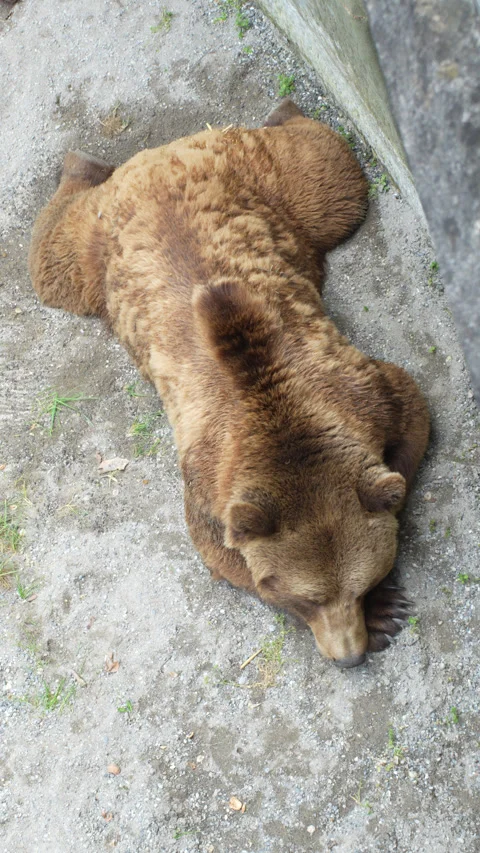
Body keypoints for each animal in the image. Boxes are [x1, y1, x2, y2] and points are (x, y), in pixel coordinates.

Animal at [29, 99, 429, 668]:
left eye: (361, 582)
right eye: (304, 598)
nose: (346, 656)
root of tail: (154, 158)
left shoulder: (365, 395)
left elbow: (410, 417)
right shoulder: (209, 478)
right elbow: (221, 552)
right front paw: (383, 616)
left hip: (269, 181)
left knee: (334, 175)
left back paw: (280, 110)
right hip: (94, 254)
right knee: (51, 258)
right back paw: (81, 162)